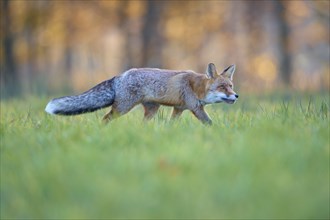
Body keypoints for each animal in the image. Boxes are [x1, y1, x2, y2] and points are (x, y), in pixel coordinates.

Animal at [45, 62, 238, 124]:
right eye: (222, 87)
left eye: (231, 86)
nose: (236, 96)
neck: (197, 87)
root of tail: (120, 76)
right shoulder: (195, 108)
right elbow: (210, 124)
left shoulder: (179, 108)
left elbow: (171, 125)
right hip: (122, 108)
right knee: (105, 118)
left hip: (152, 110)